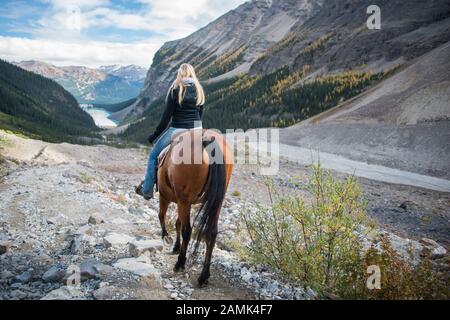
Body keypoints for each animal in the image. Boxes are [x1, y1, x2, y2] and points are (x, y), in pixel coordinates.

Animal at [157, 129, 234, 286]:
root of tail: (207, 139)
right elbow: (177, 223)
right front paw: (176, 246)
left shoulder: (166, 196)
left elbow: (163, 216)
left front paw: (167, 238)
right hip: (216, 202)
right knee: (212, 233)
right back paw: (204, 275)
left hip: (183, 200)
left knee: (187, 230)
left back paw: (180, 264)